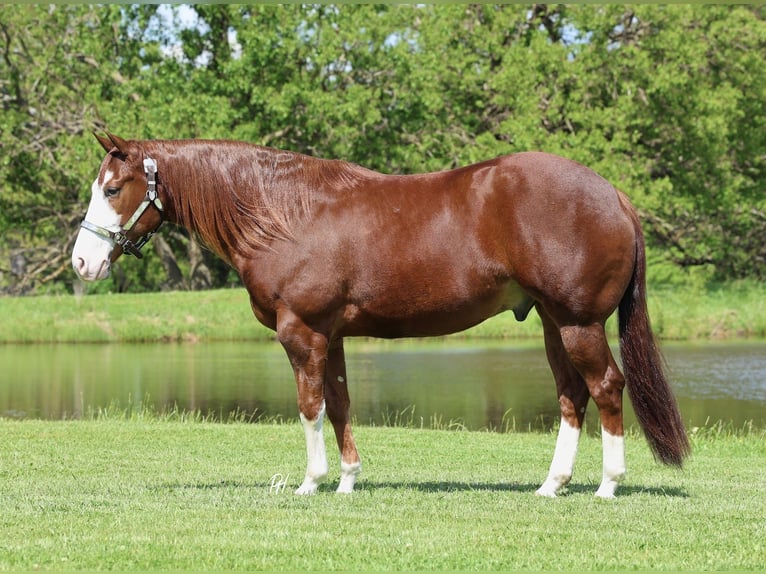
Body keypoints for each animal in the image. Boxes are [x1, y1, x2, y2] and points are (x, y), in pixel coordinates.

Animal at [72, 132, 689, 498]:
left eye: (114, 187)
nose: (82, 261)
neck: (285, 214)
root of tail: (612, 194)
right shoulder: (333, 335)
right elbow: (341, 403)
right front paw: (347, 481)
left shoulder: (302, 333)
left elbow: (310, 407)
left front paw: (311, 482)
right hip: (553, 323)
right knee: (572, 394)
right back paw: (552, 484)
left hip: (578, 322)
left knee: (606, 387)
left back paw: (609, 484)